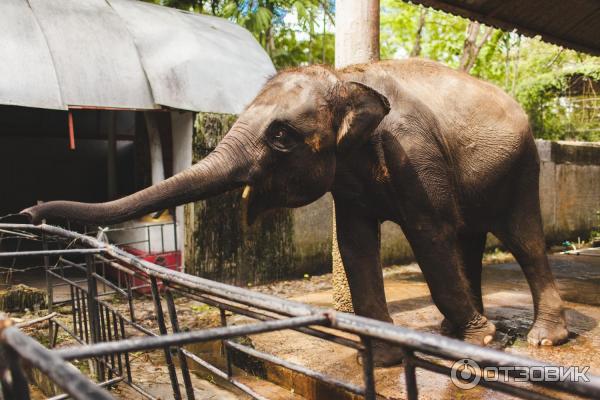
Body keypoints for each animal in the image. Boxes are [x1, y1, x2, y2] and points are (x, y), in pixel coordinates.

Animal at [11, 58, 568, 366]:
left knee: (521, 239)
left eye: (280, 136)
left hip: (523, 166)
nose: (28, 210)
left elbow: (430, 234)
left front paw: (477, 341)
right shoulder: (349, 181)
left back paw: (538, 340)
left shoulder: (415, 153)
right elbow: (355, 245)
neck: (346, 79)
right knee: (471, 238)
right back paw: (457, 333)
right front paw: (384, 356)